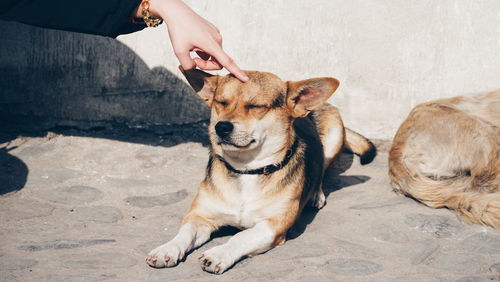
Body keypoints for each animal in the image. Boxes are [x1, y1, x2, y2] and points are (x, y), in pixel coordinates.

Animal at [145, 67, 376, 274]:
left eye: (255, 106)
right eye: (221, 102)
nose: (221, 127)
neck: (247, 171)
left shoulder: (273, 227)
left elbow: (240, 237)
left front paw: (219, 254)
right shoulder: (200, 217)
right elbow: (185, 233)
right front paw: (167, 248)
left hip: (334, 137)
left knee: (321, 171)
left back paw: (315, 195)